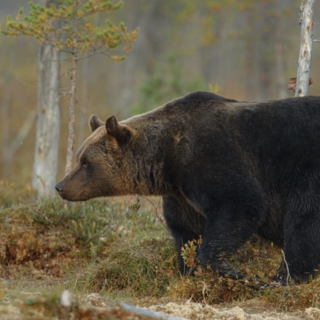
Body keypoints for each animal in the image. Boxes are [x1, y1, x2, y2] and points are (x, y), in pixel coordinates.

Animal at [56, 91, 320, 284]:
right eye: (79, 157)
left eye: (85, 162)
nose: (60, 186)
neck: (166, 158)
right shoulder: (181, 194)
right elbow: (186, 231)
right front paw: (189, 271)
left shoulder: (210, 156)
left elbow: (242, 202)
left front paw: (229, 269)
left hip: (304, 169)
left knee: (303, 220)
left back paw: (284, 277)